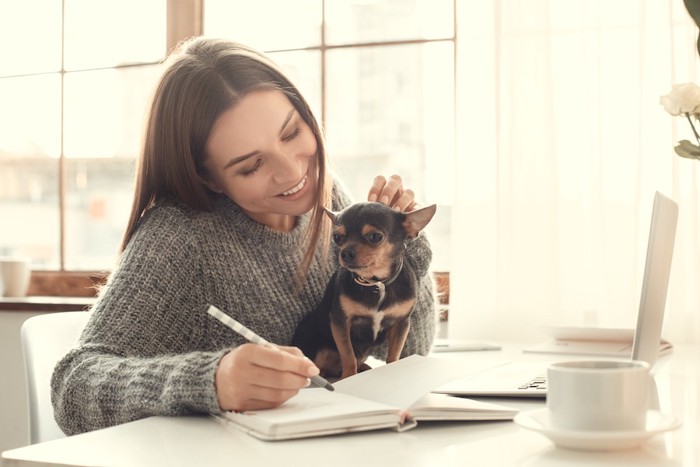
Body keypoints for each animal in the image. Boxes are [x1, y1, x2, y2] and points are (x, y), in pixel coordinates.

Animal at [292, 201, 434, 380]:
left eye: (375, 237)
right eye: (337, 237)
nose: (345, 253)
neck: (376, 284)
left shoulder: (401, 324)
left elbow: (393, 355)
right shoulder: (340, 322)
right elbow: (348, 356)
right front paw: (349, 377)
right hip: (315, 346)